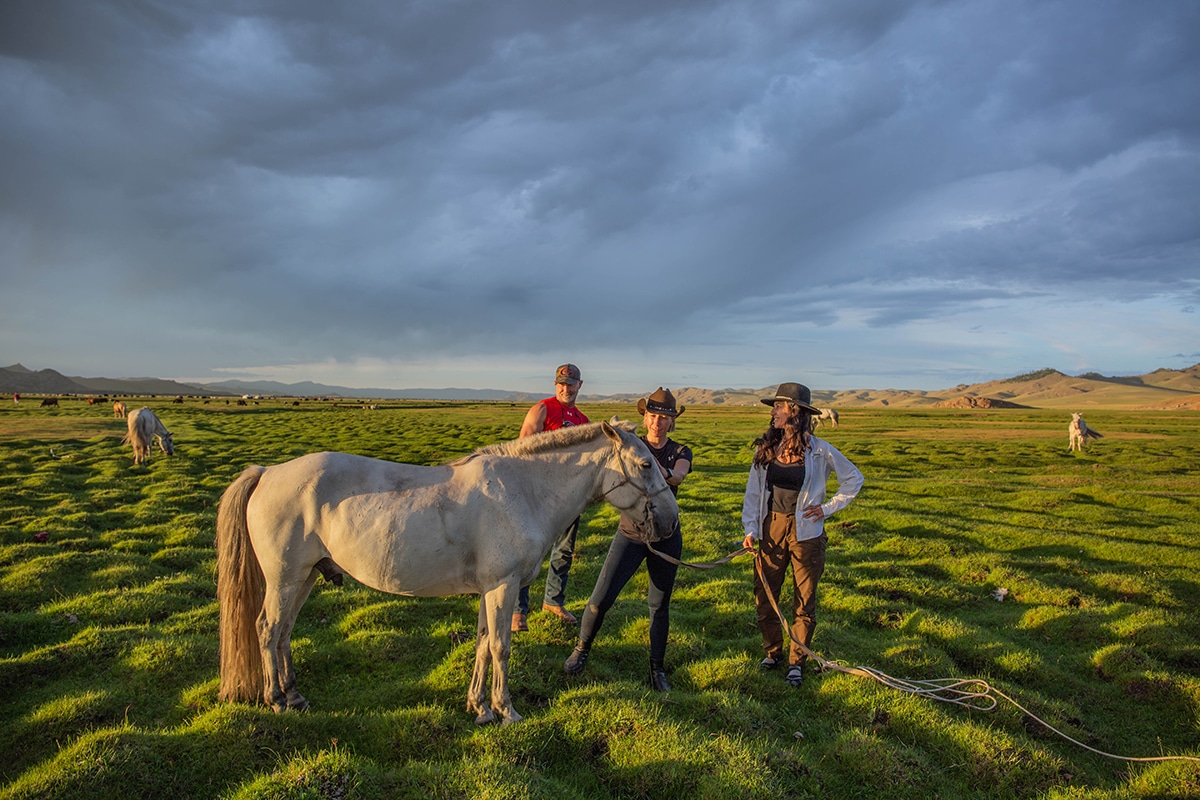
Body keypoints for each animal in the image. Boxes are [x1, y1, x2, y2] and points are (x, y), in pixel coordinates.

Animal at [215, 419, 679, 726]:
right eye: (644, 465)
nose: (670, 521)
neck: (524, 490)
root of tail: (267, 473)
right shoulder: (503, 586)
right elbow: (501, 648)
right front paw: (506, 710)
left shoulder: (489, 589)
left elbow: (482, 644)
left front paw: (479, 707)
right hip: (285, 579)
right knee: (267, 628)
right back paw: (276, 698)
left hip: (305, 577)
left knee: (284, 631)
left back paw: (294, 695)